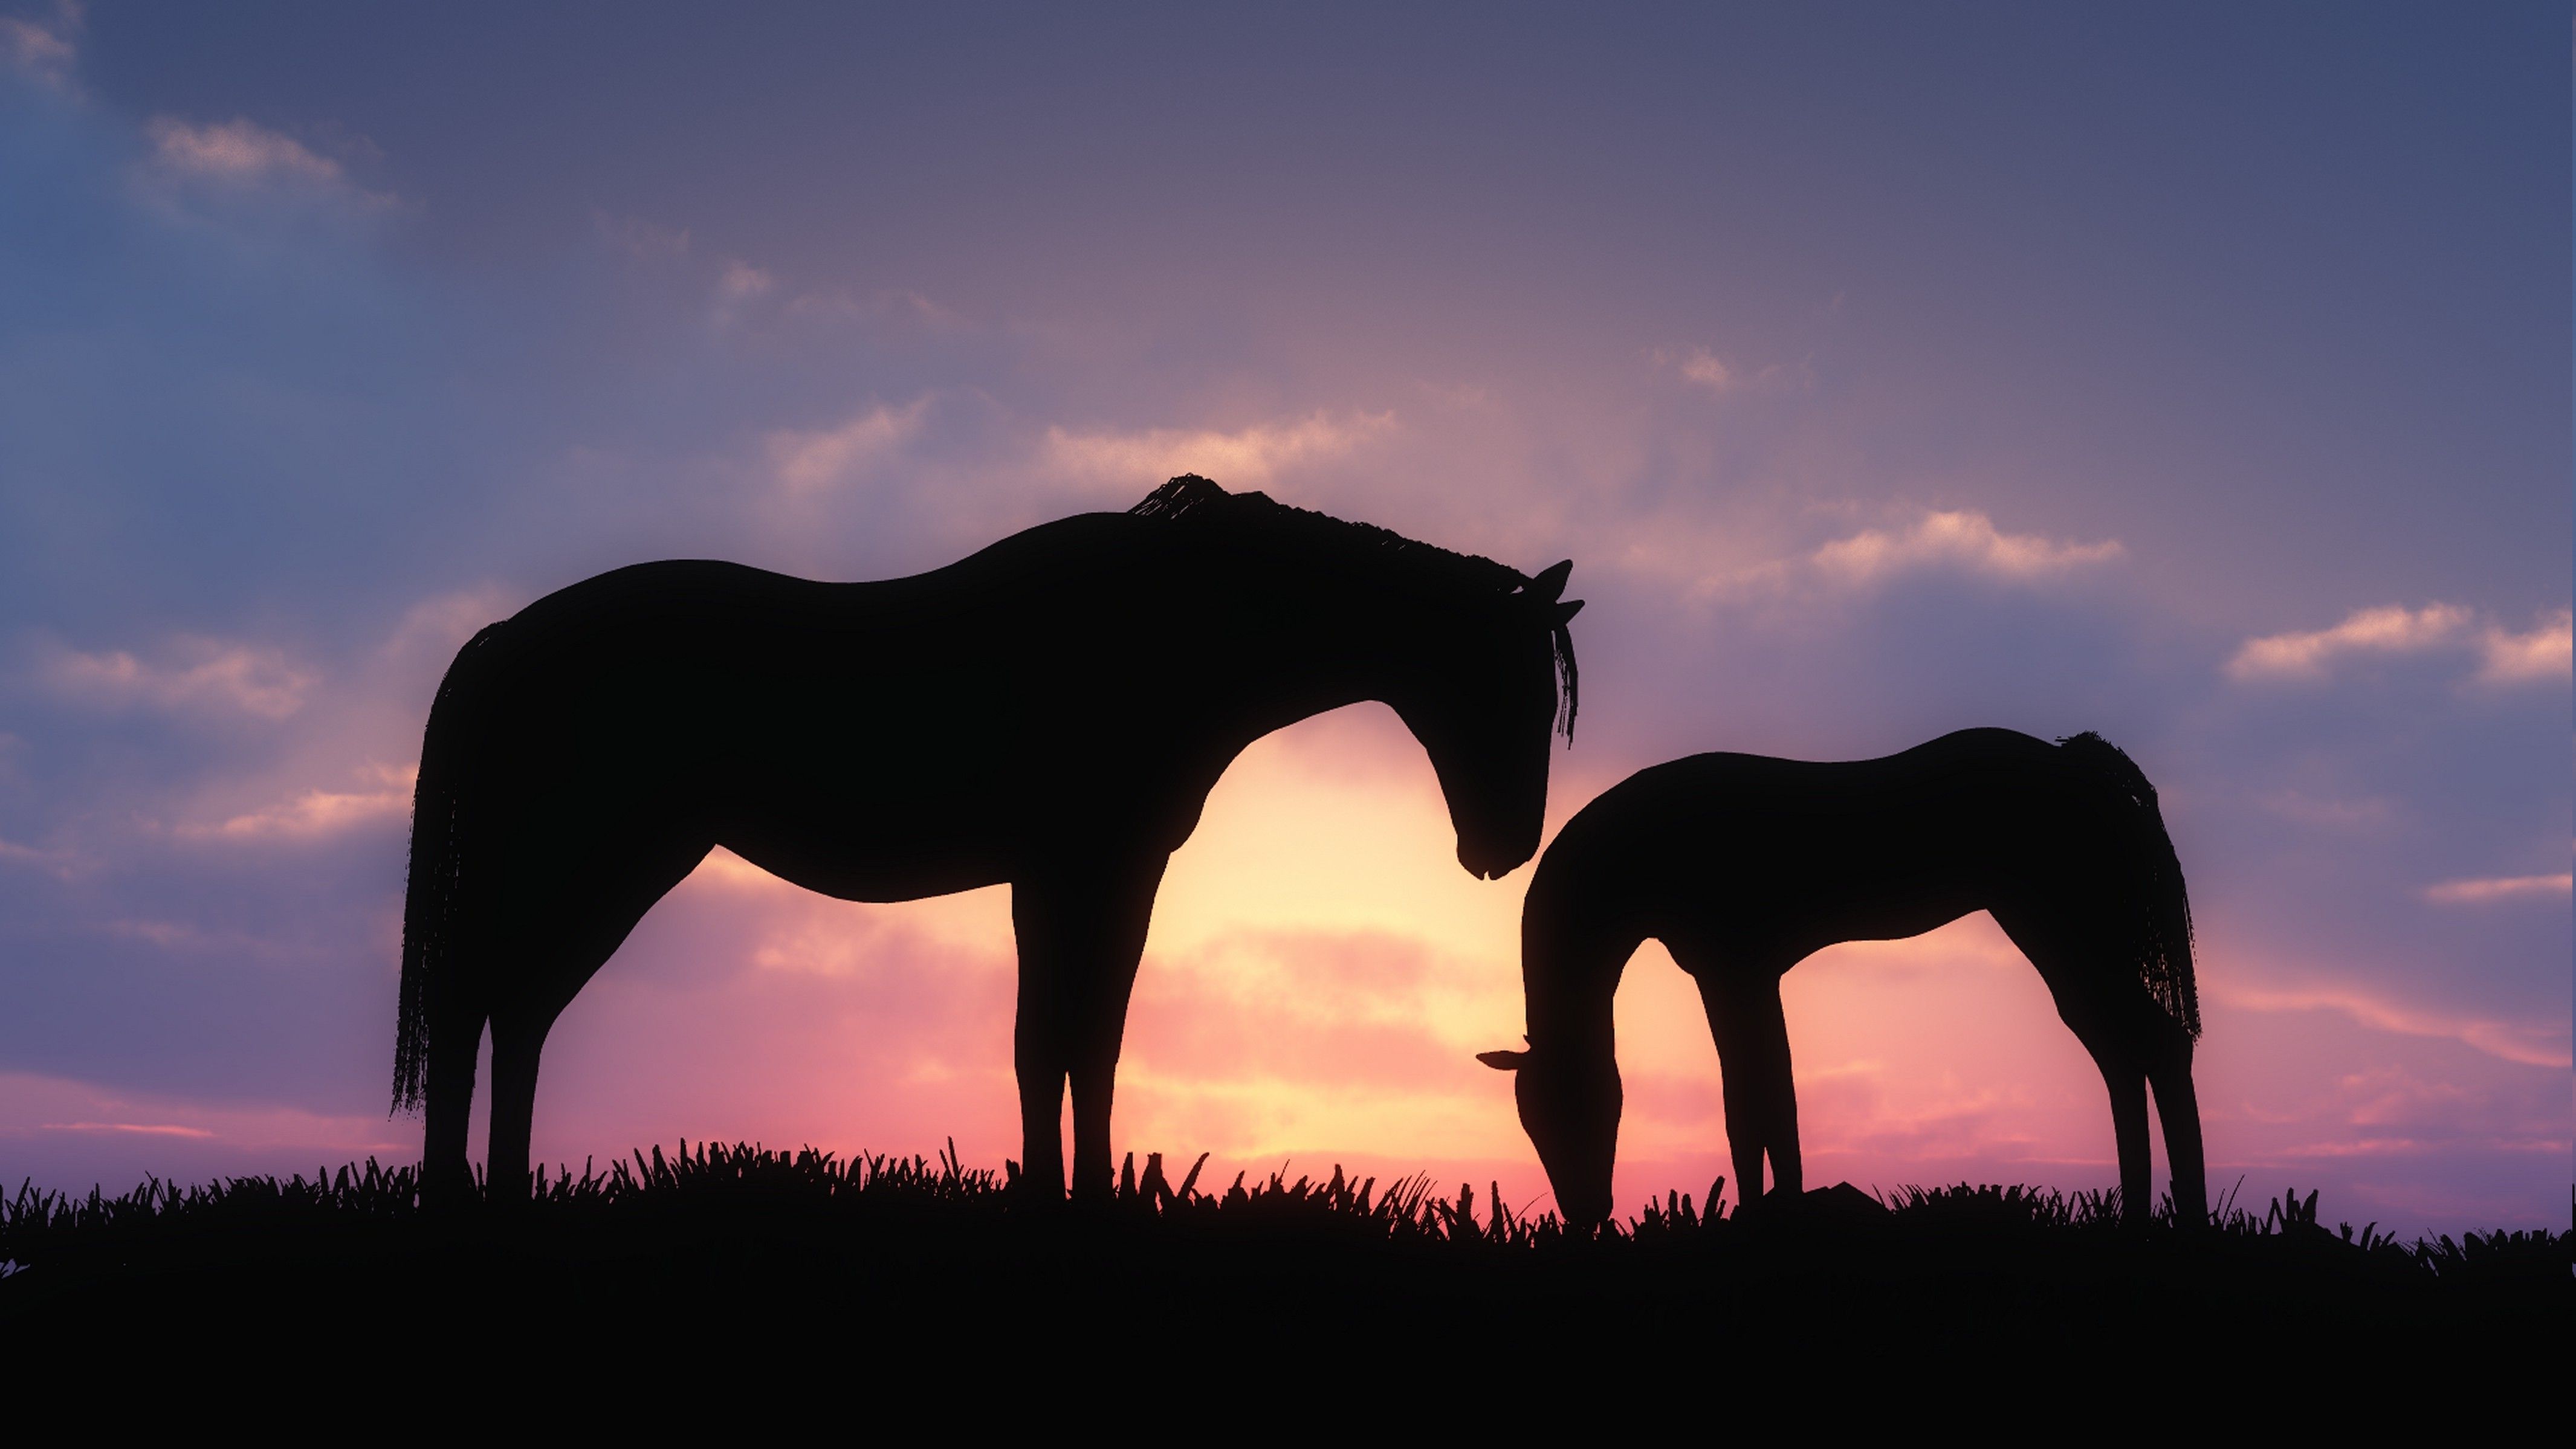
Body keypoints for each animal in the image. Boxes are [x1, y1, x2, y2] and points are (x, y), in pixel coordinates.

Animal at [394, 475, 1583, 1204]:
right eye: (1512, 685)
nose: (1503, 848)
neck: (1173, 631)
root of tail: (504, 637)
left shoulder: (1075, 875)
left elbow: (1066, 1040)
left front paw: (1073, 1191)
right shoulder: (1090, 867)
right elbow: (1066, 1038)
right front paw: (1074, 1198)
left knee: (512, 1011)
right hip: (597, 859)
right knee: (486, 1006)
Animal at [1478, 728, 2204, 1229]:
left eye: (1578, 1108)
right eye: (1530, 1123)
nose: (1584, 1214)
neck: (1651, 846)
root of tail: (2083, 766)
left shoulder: (1735, 970)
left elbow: (1758, 1103)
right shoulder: (1741, 975)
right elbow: (1761, 1102)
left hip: (2065, 933)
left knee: (2154, 1047)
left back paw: (2187, 1218)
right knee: (2122, 1055)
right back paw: (2137, 1215)